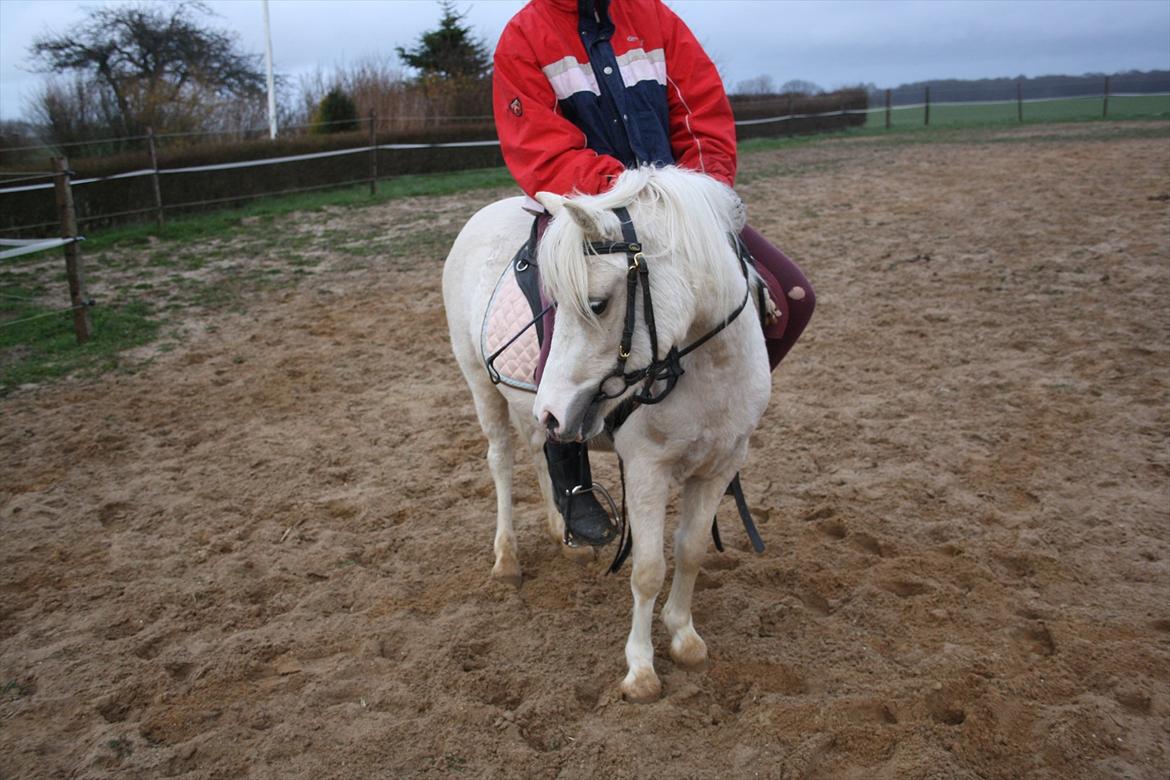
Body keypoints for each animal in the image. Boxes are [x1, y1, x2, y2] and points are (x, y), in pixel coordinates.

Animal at [442, 164, 772, 701]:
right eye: (559, 303)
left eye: (597, 303)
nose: (553, 409)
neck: (708, 369)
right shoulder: (646, 471)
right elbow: (648, 569)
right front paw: (641, 670)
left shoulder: (721, 464)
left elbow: (691, 551)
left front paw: (685, 637)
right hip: (482, 385)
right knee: (502, 462)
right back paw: (507, 560)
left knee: (538, 450)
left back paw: (562, 532)